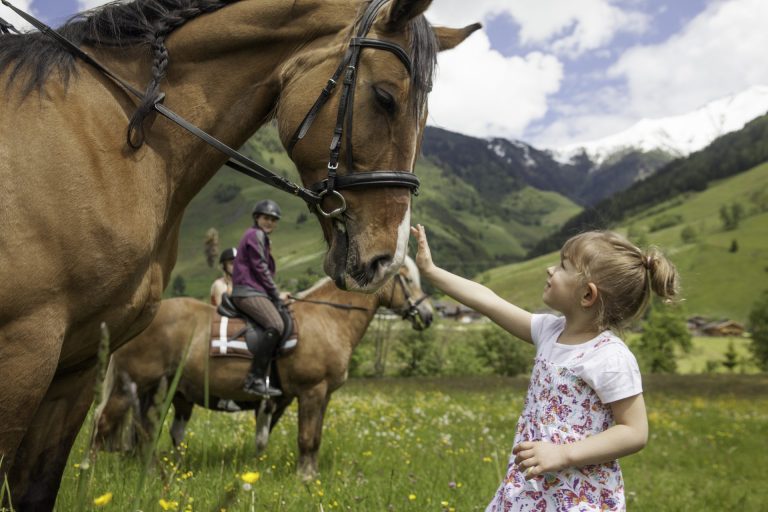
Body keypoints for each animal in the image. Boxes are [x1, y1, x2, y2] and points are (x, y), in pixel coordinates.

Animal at [96, 260, 432, 480]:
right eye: (406, 278)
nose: (427, 315)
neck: (327, 318)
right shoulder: (311, 392)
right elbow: (306, 437)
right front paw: (304, 479)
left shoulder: (322, 396)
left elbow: (314, 437)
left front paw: (310, 474)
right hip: (131, 386)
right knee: (105, 423)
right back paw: (92, 470)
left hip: (156, 390)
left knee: (144, 430)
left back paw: (152, 470)